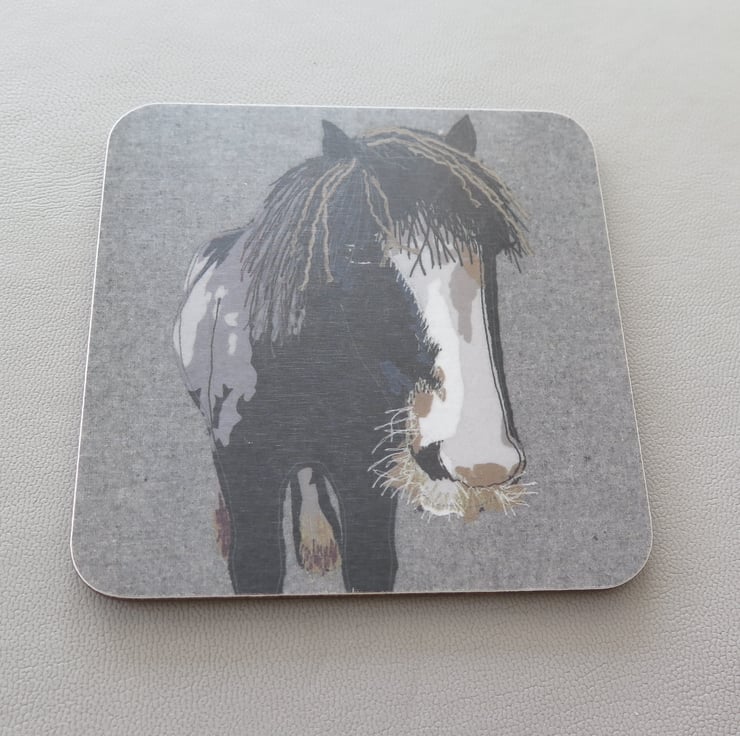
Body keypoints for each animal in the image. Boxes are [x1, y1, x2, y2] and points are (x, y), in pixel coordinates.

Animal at [173, 114, 531, 594]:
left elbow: (368, 563)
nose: (481, 457)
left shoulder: (366, 480)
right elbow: (255, 564)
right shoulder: (248, 478)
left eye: (489, 248)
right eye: (357, 254)